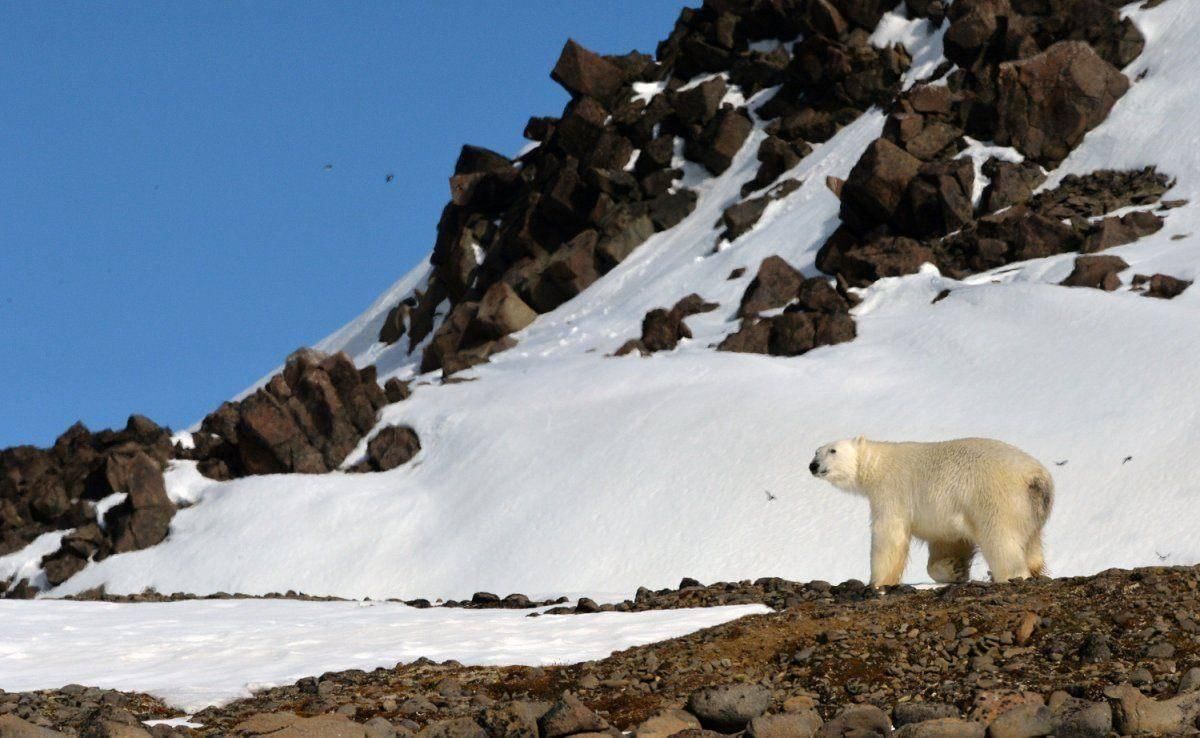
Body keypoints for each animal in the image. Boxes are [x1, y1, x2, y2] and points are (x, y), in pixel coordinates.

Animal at [811, 439, 1056, 588]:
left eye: (832, 450)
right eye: (816, 451)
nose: (813, 465)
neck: (878, 464)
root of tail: (1035, 478)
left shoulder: (893, 490)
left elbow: (889, 535)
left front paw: (877, 581)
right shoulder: (944, 510)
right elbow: (948, 540)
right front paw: (954, 569)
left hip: (995, 500)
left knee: (1001, 540)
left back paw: (1010, 575)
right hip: (1031, 510)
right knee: (1032, 541)